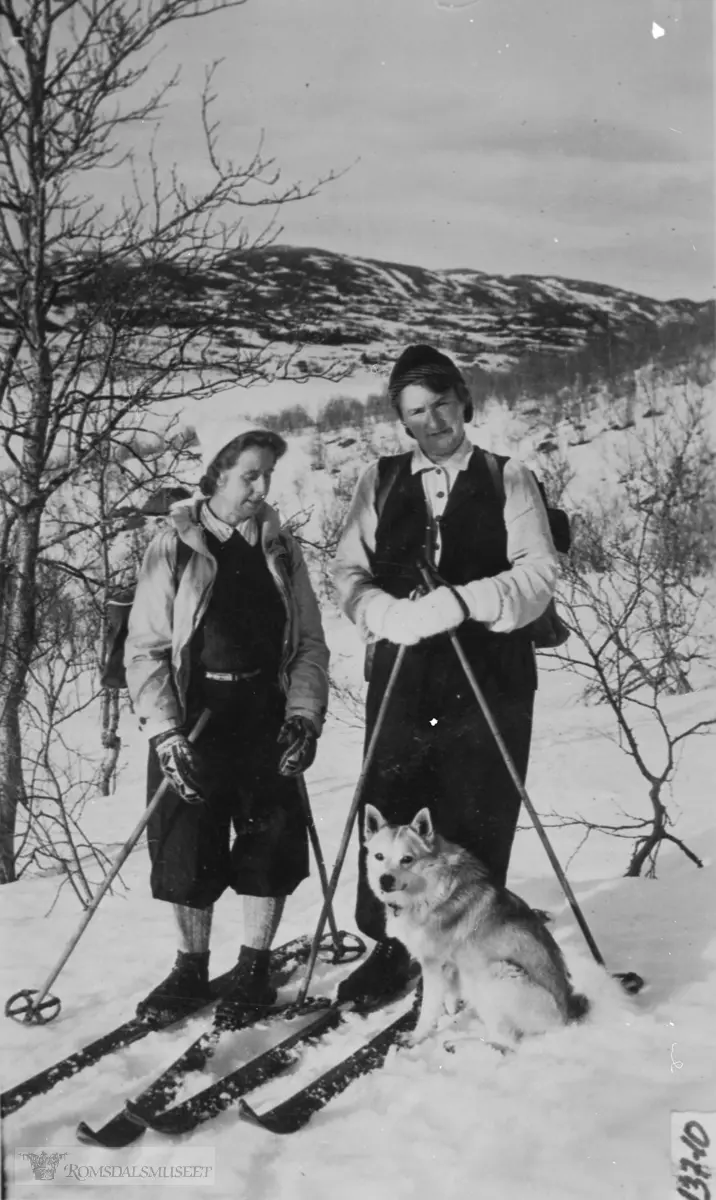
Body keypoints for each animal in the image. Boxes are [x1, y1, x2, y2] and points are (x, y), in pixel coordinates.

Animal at [362, 806, 585, 1051]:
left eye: (407, 859)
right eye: (379, 856)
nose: (385, 880)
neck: (428, 891)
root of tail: (565, 1020)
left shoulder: (432, 964)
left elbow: (429, 1007)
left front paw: (416, 1037)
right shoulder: (449, 965)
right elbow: (449, 996)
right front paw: (451, 1013)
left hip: (493, 975)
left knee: (506, 1041)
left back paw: (459, 1044)